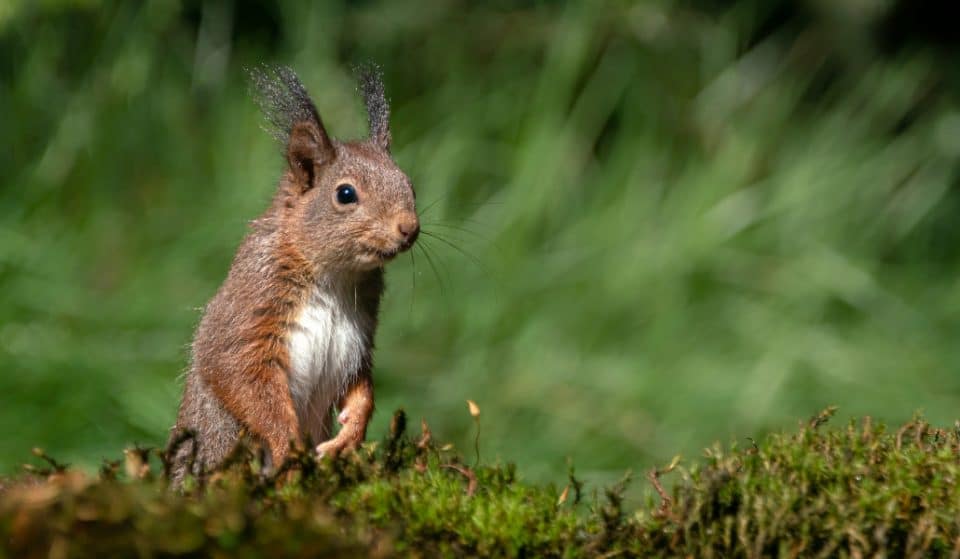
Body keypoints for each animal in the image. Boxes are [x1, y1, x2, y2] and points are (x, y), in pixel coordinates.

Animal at [167, 65, 418, 485]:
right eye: (345, 194)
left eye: (409, 183)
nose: (409, 228)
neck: (335, 278)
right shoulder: (252, 307)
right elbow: (238, 375)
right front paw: (288, 446)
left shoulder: (360, 336)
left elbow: (362, 387)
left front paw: (349, 434)